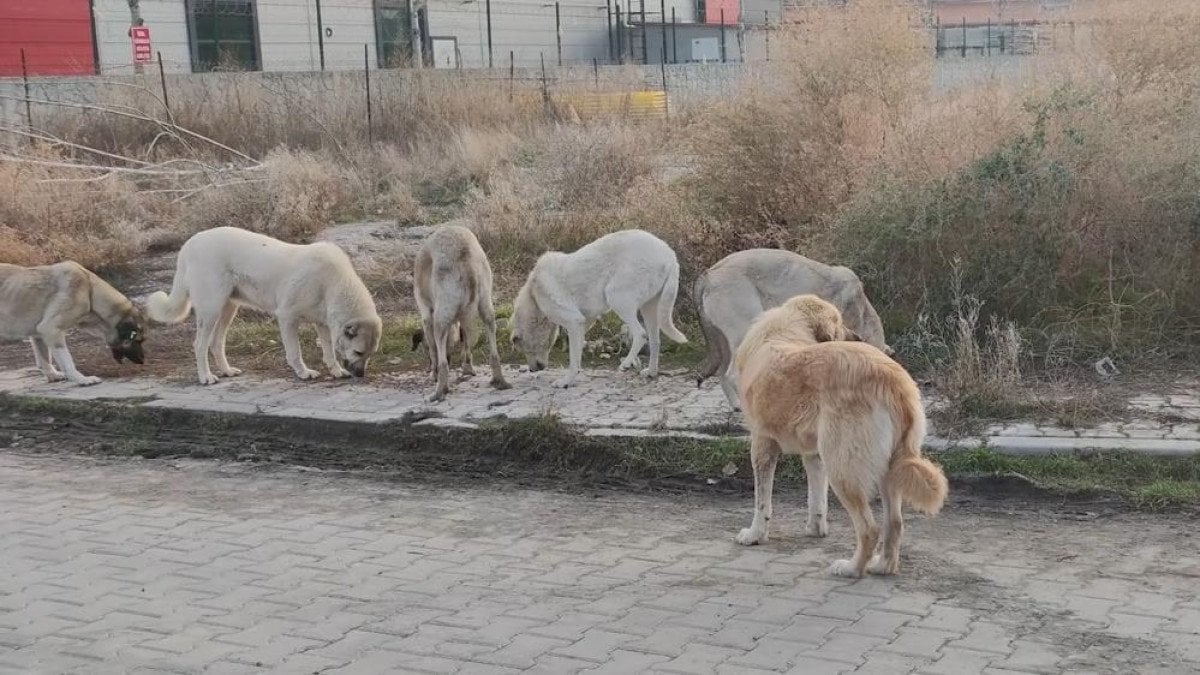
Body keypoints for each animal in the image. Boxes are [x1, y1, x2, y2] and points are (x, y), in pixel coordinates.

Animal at [146, 225, 379, 384]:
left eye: (370, 354)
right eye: (359, 352)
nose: (361, 375)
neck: (334, 282)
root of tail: (190, 243)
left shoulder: (322, 324)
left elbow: (329, 352)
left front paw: (336, 371)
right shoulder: (287, 318)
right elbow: (295, 352)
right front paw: (303, 373)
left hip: (228, 310)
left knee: (216, 343)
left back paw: (227, 371)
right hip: (210, 310)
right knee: (200, 345)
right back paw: (206, 377)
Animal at [511, 228, 691, 386]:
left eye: (524, 349)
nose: (533, 370)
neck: (534, 294)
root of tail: (670, 255)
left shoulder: (574, 321)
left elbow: (573, 357)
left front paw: (566, 381)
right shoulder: (584, 321)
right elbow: (577, 351)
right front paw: (576, 373)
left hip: (616, 298)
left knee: (641, 334)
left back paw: (626, 364)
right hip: (649, 309)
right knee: (655, 340)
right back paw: (651, 372)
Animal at [696, 246, 892, 408]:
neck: (861, 313)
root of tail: (708, 274)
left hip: (724, 342)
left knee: (721, 371)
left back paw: (736, 405)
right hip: (744, 332)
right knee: (732, 375)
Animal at [729, 291, 945, 576]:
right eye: (841, 323)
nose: (857, 337)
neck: (785, 329)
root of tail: (891, 378)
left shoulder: (762, 444)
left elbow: (762, 502)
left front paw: (755, 535)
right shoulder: (814, 454)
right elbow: (816, 498)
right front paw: (815, 529)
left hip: (842, 468)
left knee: (869, 529)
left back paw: (851, 568)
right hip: (885, 467)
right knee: (895, 523)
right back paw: (881, 566)